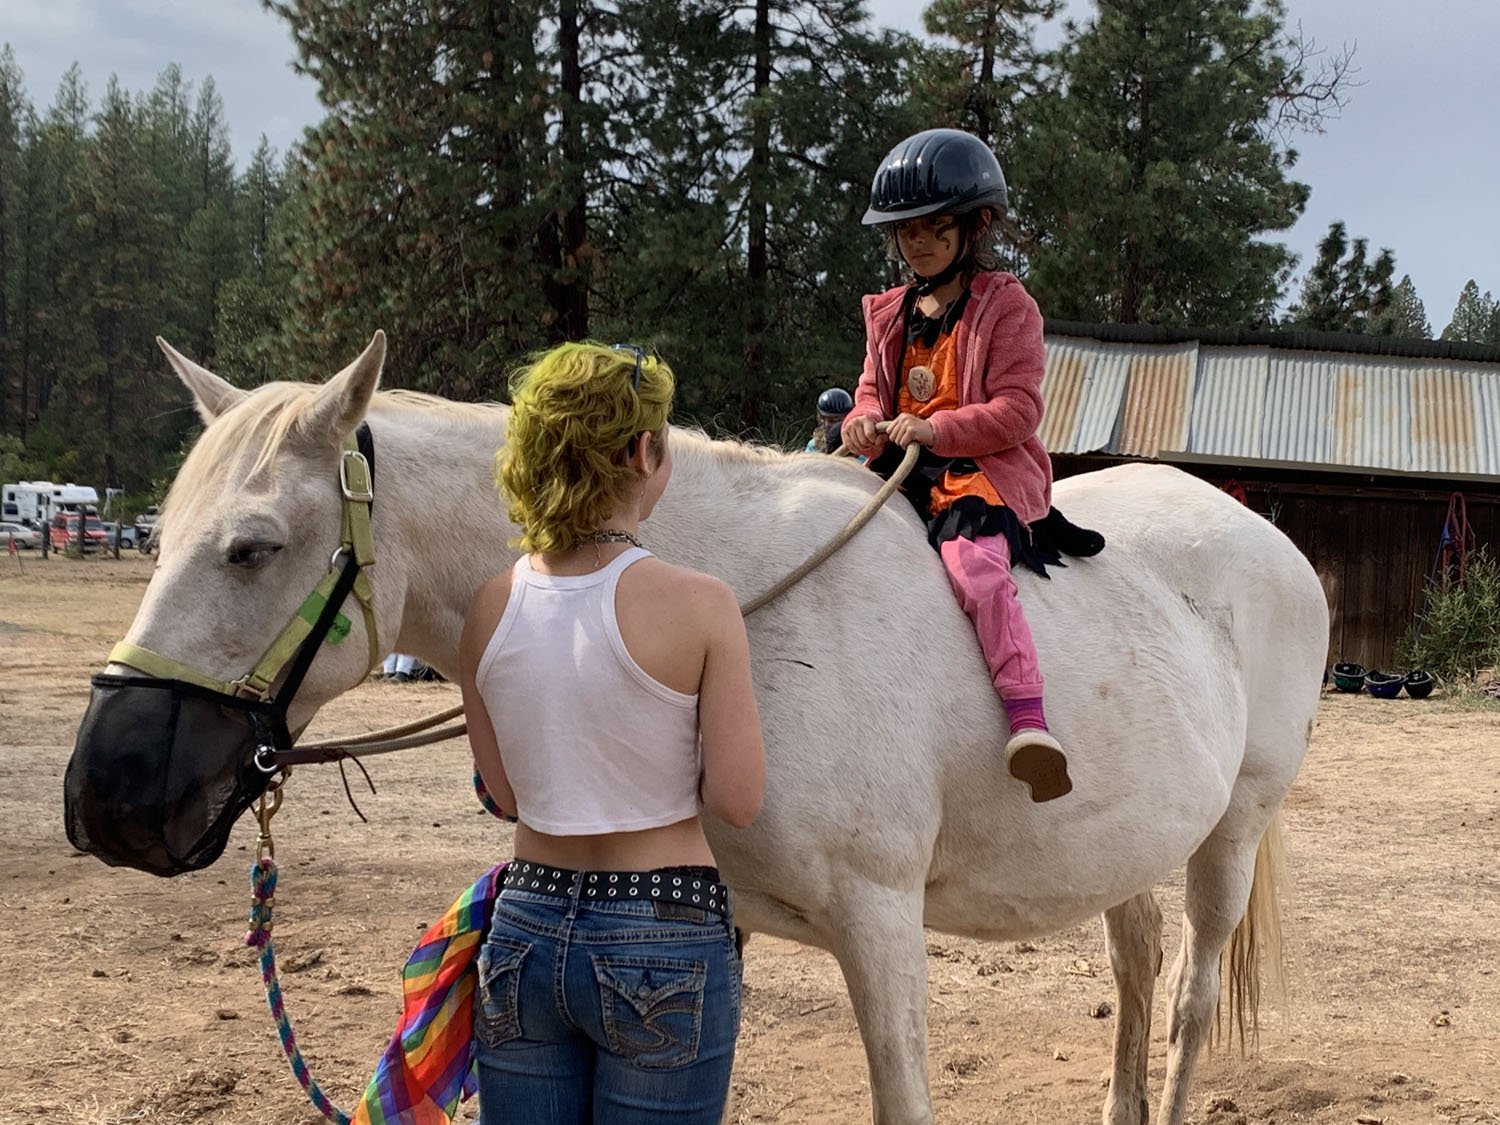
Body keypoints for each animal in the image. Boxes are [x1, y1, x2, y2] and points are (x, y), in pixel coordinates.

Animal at [65, 333, 1329, 1125]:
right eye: (159, 531)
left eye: (254, 547)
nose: (107, 797)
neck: (729, 610)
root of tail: (1264, 537)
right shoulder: (700, 925)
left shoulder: (879, 922)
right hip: (1120, 842)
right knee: (1139, 958)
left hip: (1235, 829)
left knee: (1190, 997)